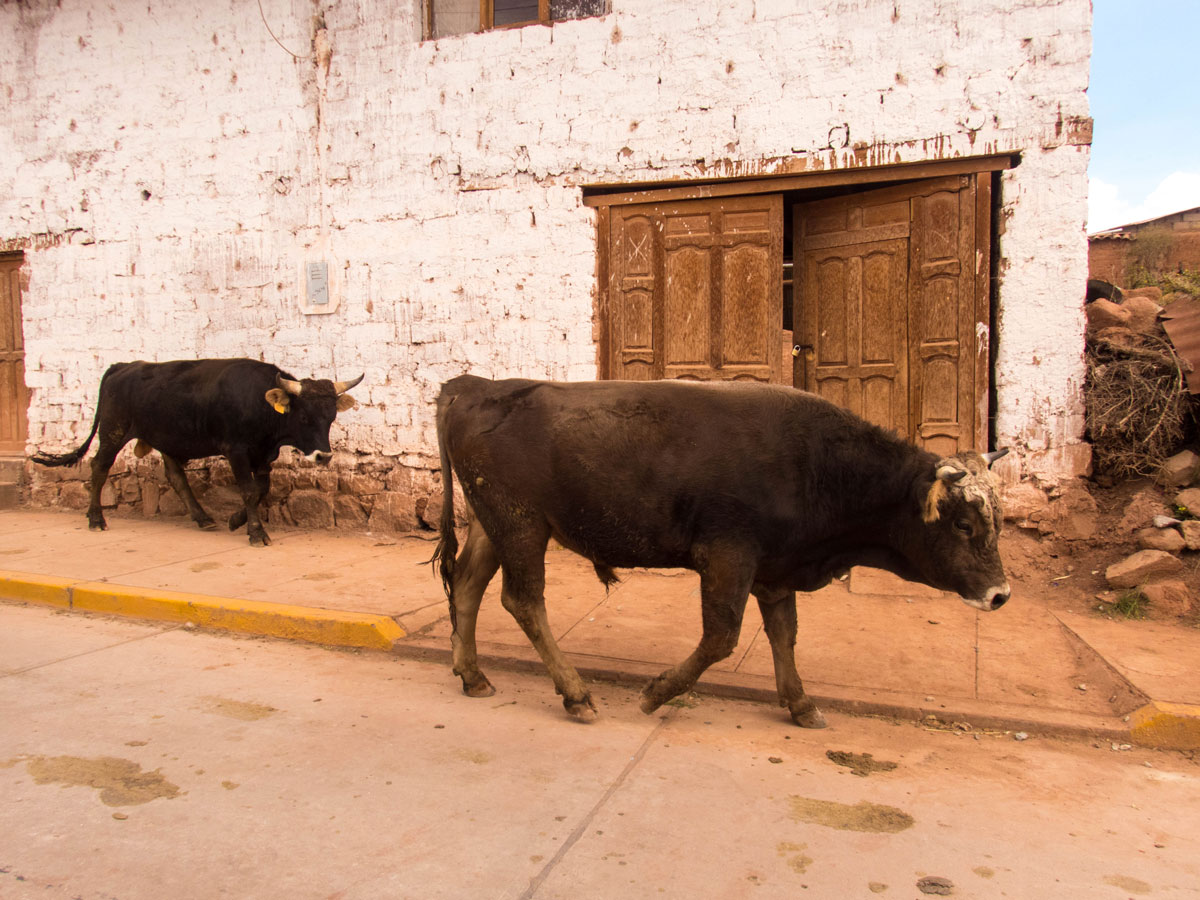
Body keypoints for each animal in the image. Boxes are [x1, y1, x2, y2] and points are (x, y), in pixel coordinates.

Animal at [32, 362, 360, 547]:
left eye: (331, 417)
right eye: (304, 417)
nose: (323, 456)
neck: (258, 402)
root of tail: (122, 366)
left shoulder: (264, 454)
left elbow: (261, 489)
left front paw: (236, 520)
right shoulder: (235, 450)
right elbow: (248, 490)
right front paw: (255, 532)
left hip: (164, 438)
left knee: (175, 476)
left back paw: (203, 518)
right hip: (113, 431)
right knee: (99, 467)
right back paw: (96, 518)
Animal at [436, 376, 1008, 729]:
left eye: (996, 521)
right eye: (963, 524)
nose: (1000, 594)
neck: (819, 465)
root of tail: (476, 386)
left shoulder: (776, 568)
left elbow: (783, 635)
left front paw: (801, 703)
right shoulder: (728, 556)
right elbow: (721, 638)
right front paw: (656, 693)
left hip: (494, 525)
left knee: (467, 584)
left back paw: (473, 675)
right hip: (521, 525)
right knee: (523, 601)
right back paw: (575, 694)